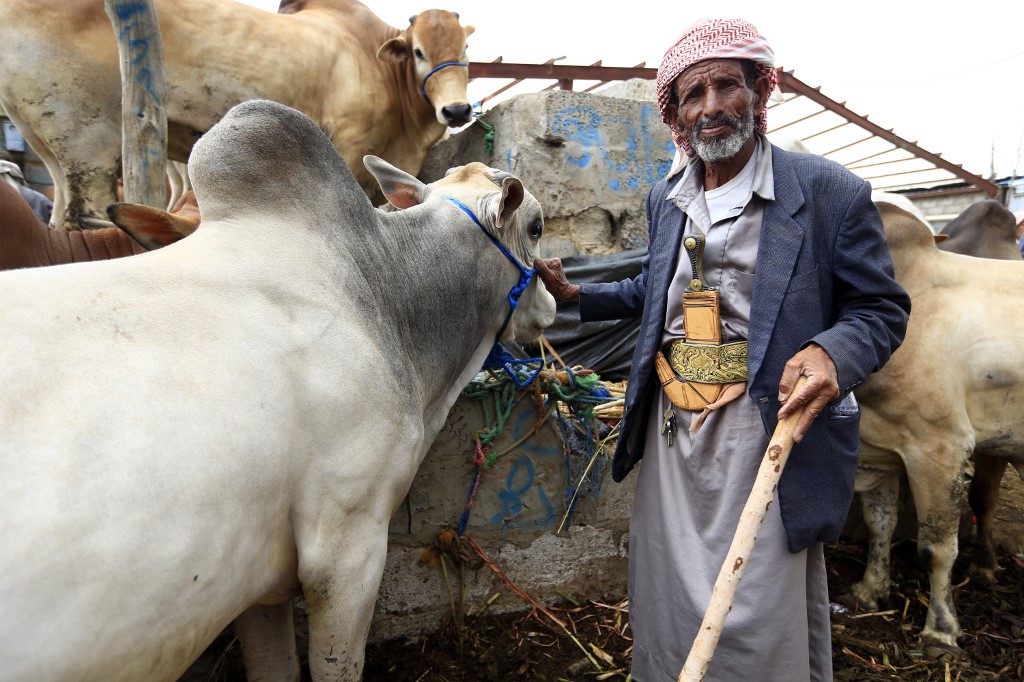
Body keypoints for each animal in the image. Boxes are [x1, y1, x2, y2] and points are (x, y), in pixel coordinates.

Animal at [0, 0, 475, 228]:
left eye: (466, 48)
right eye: (418, 51)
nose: (456, 110)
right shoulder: (349, 144)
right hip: (87, 140)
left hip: (49, 146)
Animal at [849, 202, 1024, 656]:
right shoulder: (881, 448)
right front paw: (871, 589)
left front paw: (941, 631)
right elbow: (879, 524)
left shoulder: (939, 447)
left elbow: (936, 549)